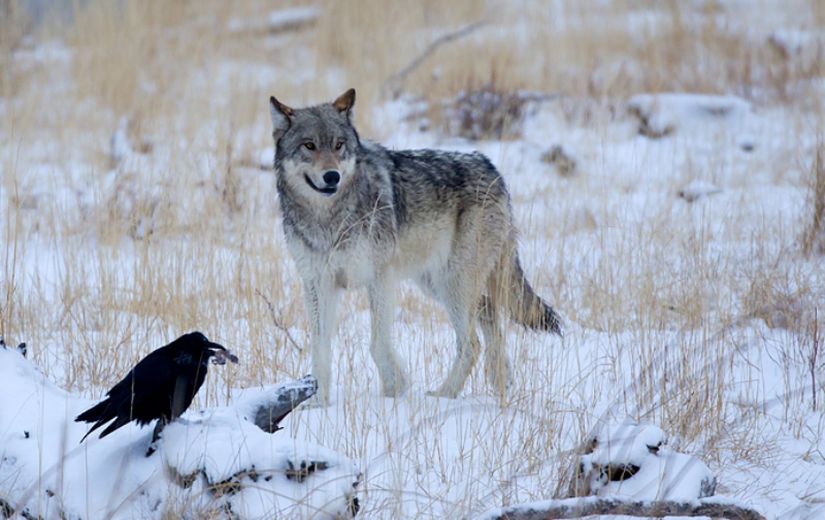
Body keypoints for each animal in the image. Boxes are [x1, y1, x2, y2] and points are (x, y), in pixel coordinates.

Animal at [268, 88, 560, 402]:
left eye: (338, 145)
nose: (332, 176)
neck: (328, 218)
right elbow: (320, 346)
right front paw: (317, 402)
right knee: (491, 322)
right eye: (309, 145)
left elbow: (378, 342)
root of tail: (491, 167)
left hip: (453, 283)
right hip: (440, 284)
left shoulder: (380, 278)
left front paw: (394, 392)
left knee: (472, 343)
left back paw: (444, 394)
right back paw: (499, 384)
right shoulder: (317, 283)